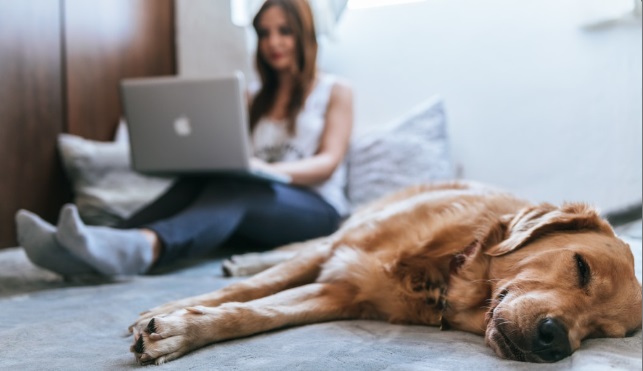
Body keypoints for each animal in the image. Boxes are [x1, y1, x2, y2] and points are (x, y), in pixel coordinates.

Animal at [128, 183, 640, 366]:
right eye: (580, 267)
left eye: (602, 333)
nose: (556, 341)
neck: (447, 267)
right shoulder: (337, 253)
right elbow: (252, 288)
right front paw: (171, 312)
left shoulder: (338, 293)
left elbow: (255, 313)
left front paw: (179, 330)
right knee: (292, 250)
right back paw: (246, 257)